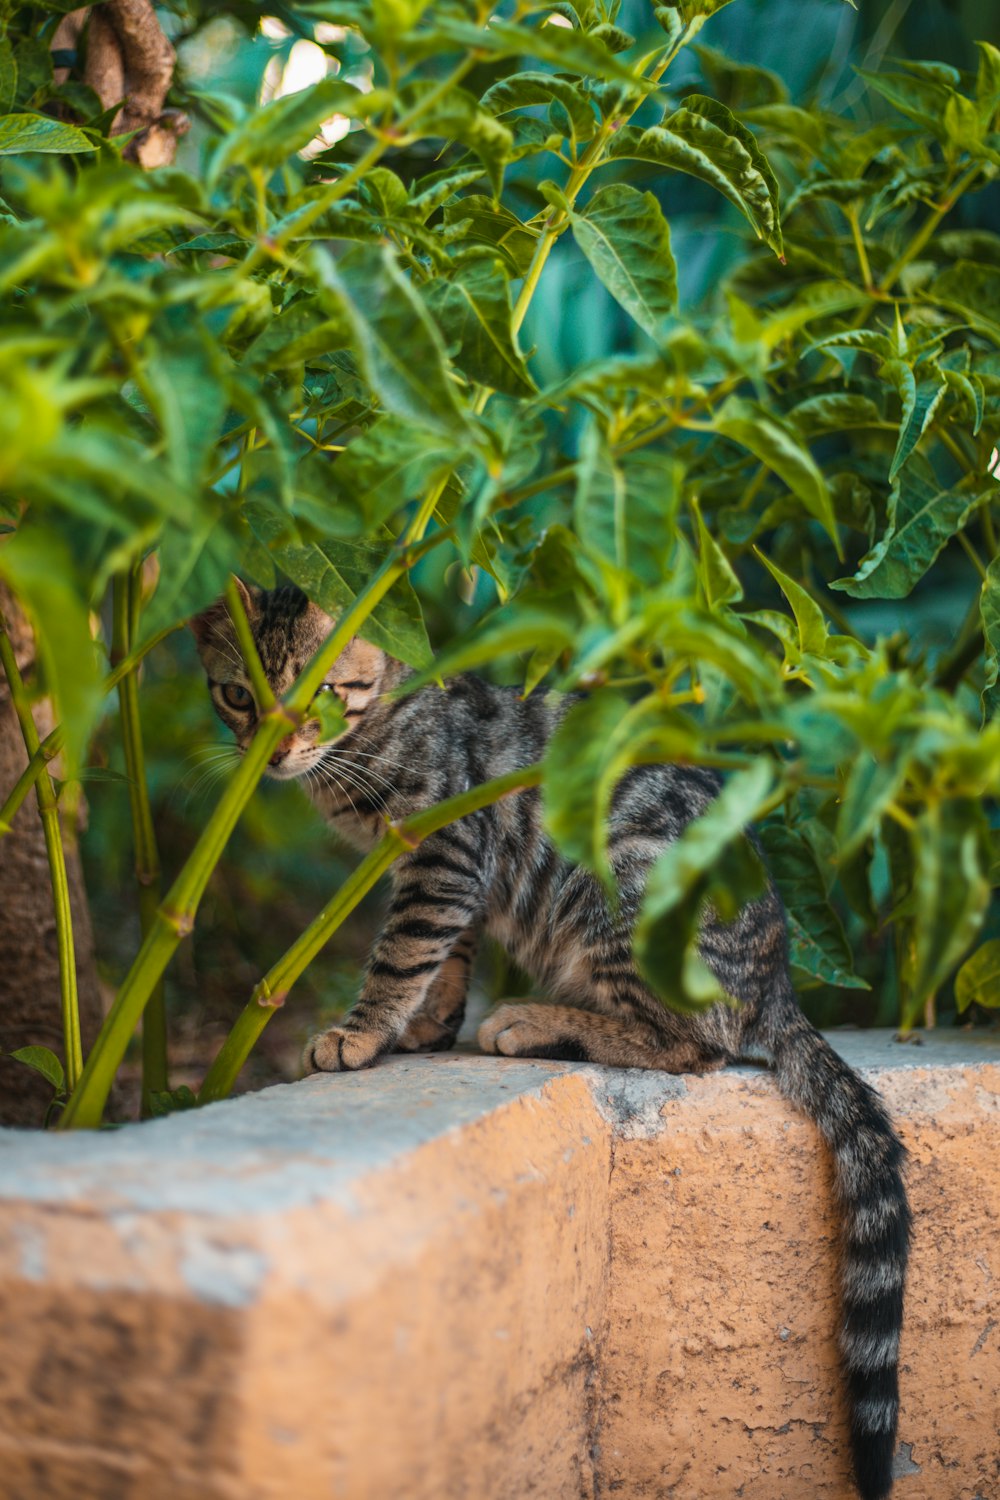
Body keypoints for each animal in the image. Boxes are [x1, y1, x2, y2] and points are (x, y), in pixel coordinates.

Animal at [191, 576, 911, 1500]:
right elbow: (445, 958)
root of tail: (777, 976)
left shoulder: (444, 849)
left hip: (624, 886)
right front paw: (425, 1027)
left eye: (317, 695)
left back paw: (535, 1020)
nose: (272, 753)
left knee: (695, 1044)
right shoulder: (442, 874)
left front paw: (361, 1031)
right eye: (238, 695)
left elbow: (403, 952)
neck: (376, 728)